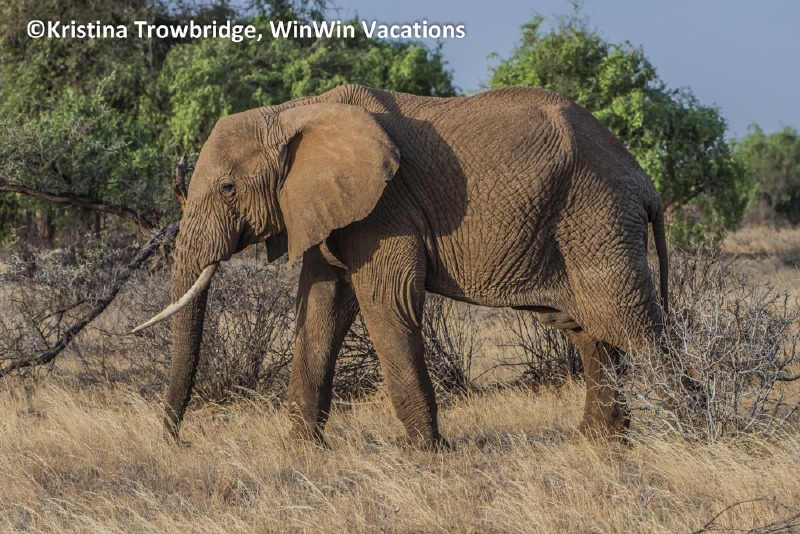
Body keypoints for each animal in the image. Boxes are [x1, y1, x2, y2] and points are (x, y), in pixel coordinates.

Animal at [134, 83, 668, 449]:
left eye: (228, 189)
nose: (180, 441)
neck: (294, 112)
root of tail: (644, 180)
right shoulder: (328, 209)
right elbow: (321, 305)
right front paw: (303, 449)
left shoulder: (384, 208)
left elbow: (385, 303)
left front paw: (425, 454)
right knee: (588, 328)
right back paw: (597, 443)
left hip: (597, 215)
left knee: (630, 322)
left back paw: (680, 431)